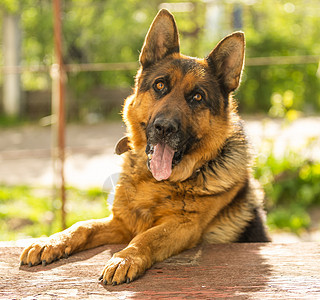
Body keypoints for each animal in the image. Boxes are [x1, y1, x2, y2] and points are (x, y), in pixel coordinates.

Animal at [20, 8, 270, 286]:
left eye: (197, 97)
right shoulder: (122, 222)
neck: (157, 182)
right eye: (160, 85)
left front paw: (124, 259)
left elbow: (146, 237)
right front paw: (51, 241)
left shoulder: (184, 227)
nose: (164, 128)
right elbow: (83, 226)